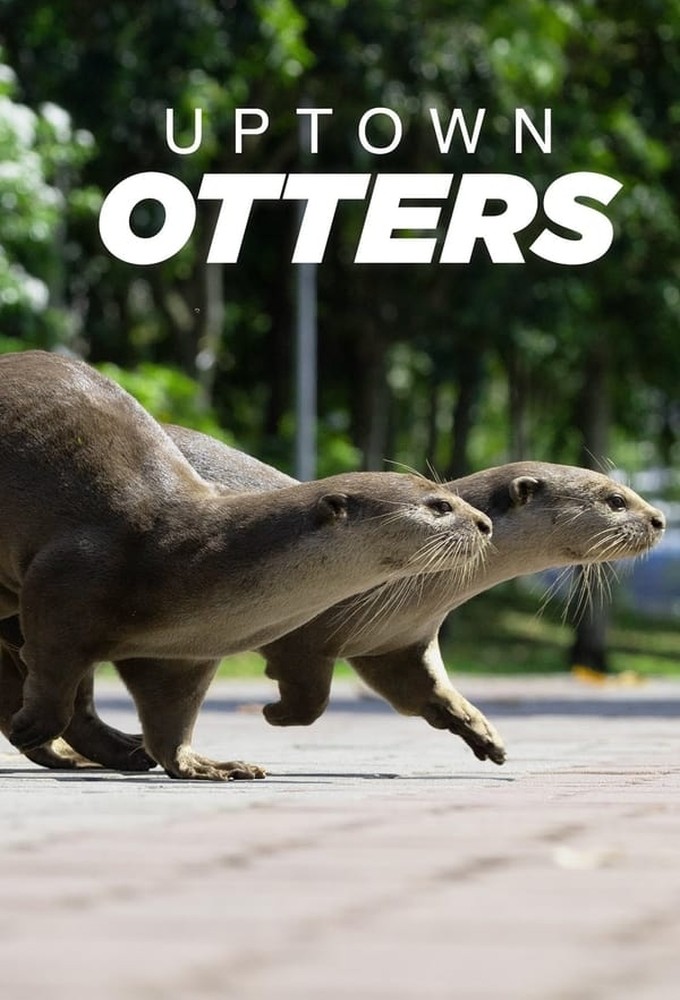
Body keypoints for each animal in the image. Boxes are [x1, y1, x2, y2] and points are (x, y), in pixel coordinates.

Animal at [0, 351, 492, 780]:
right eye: (440, 505)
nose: (485, 523)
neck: (187, 557)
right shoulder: (65, 580)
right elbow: (53, 670)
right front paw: (32, 723)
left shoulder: (180, 655)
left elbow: (171, 716)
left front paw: (202, 765)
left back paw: (120, 751)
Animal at [3, 421, 665, 773]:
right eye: (613, 499)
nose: (659, 518)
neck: (411, 593)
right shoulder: (306, 634)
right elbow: (312, 697)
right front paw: (274, 714)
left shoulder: (398, 643)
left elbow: (430, 692)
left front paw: (484, 734)